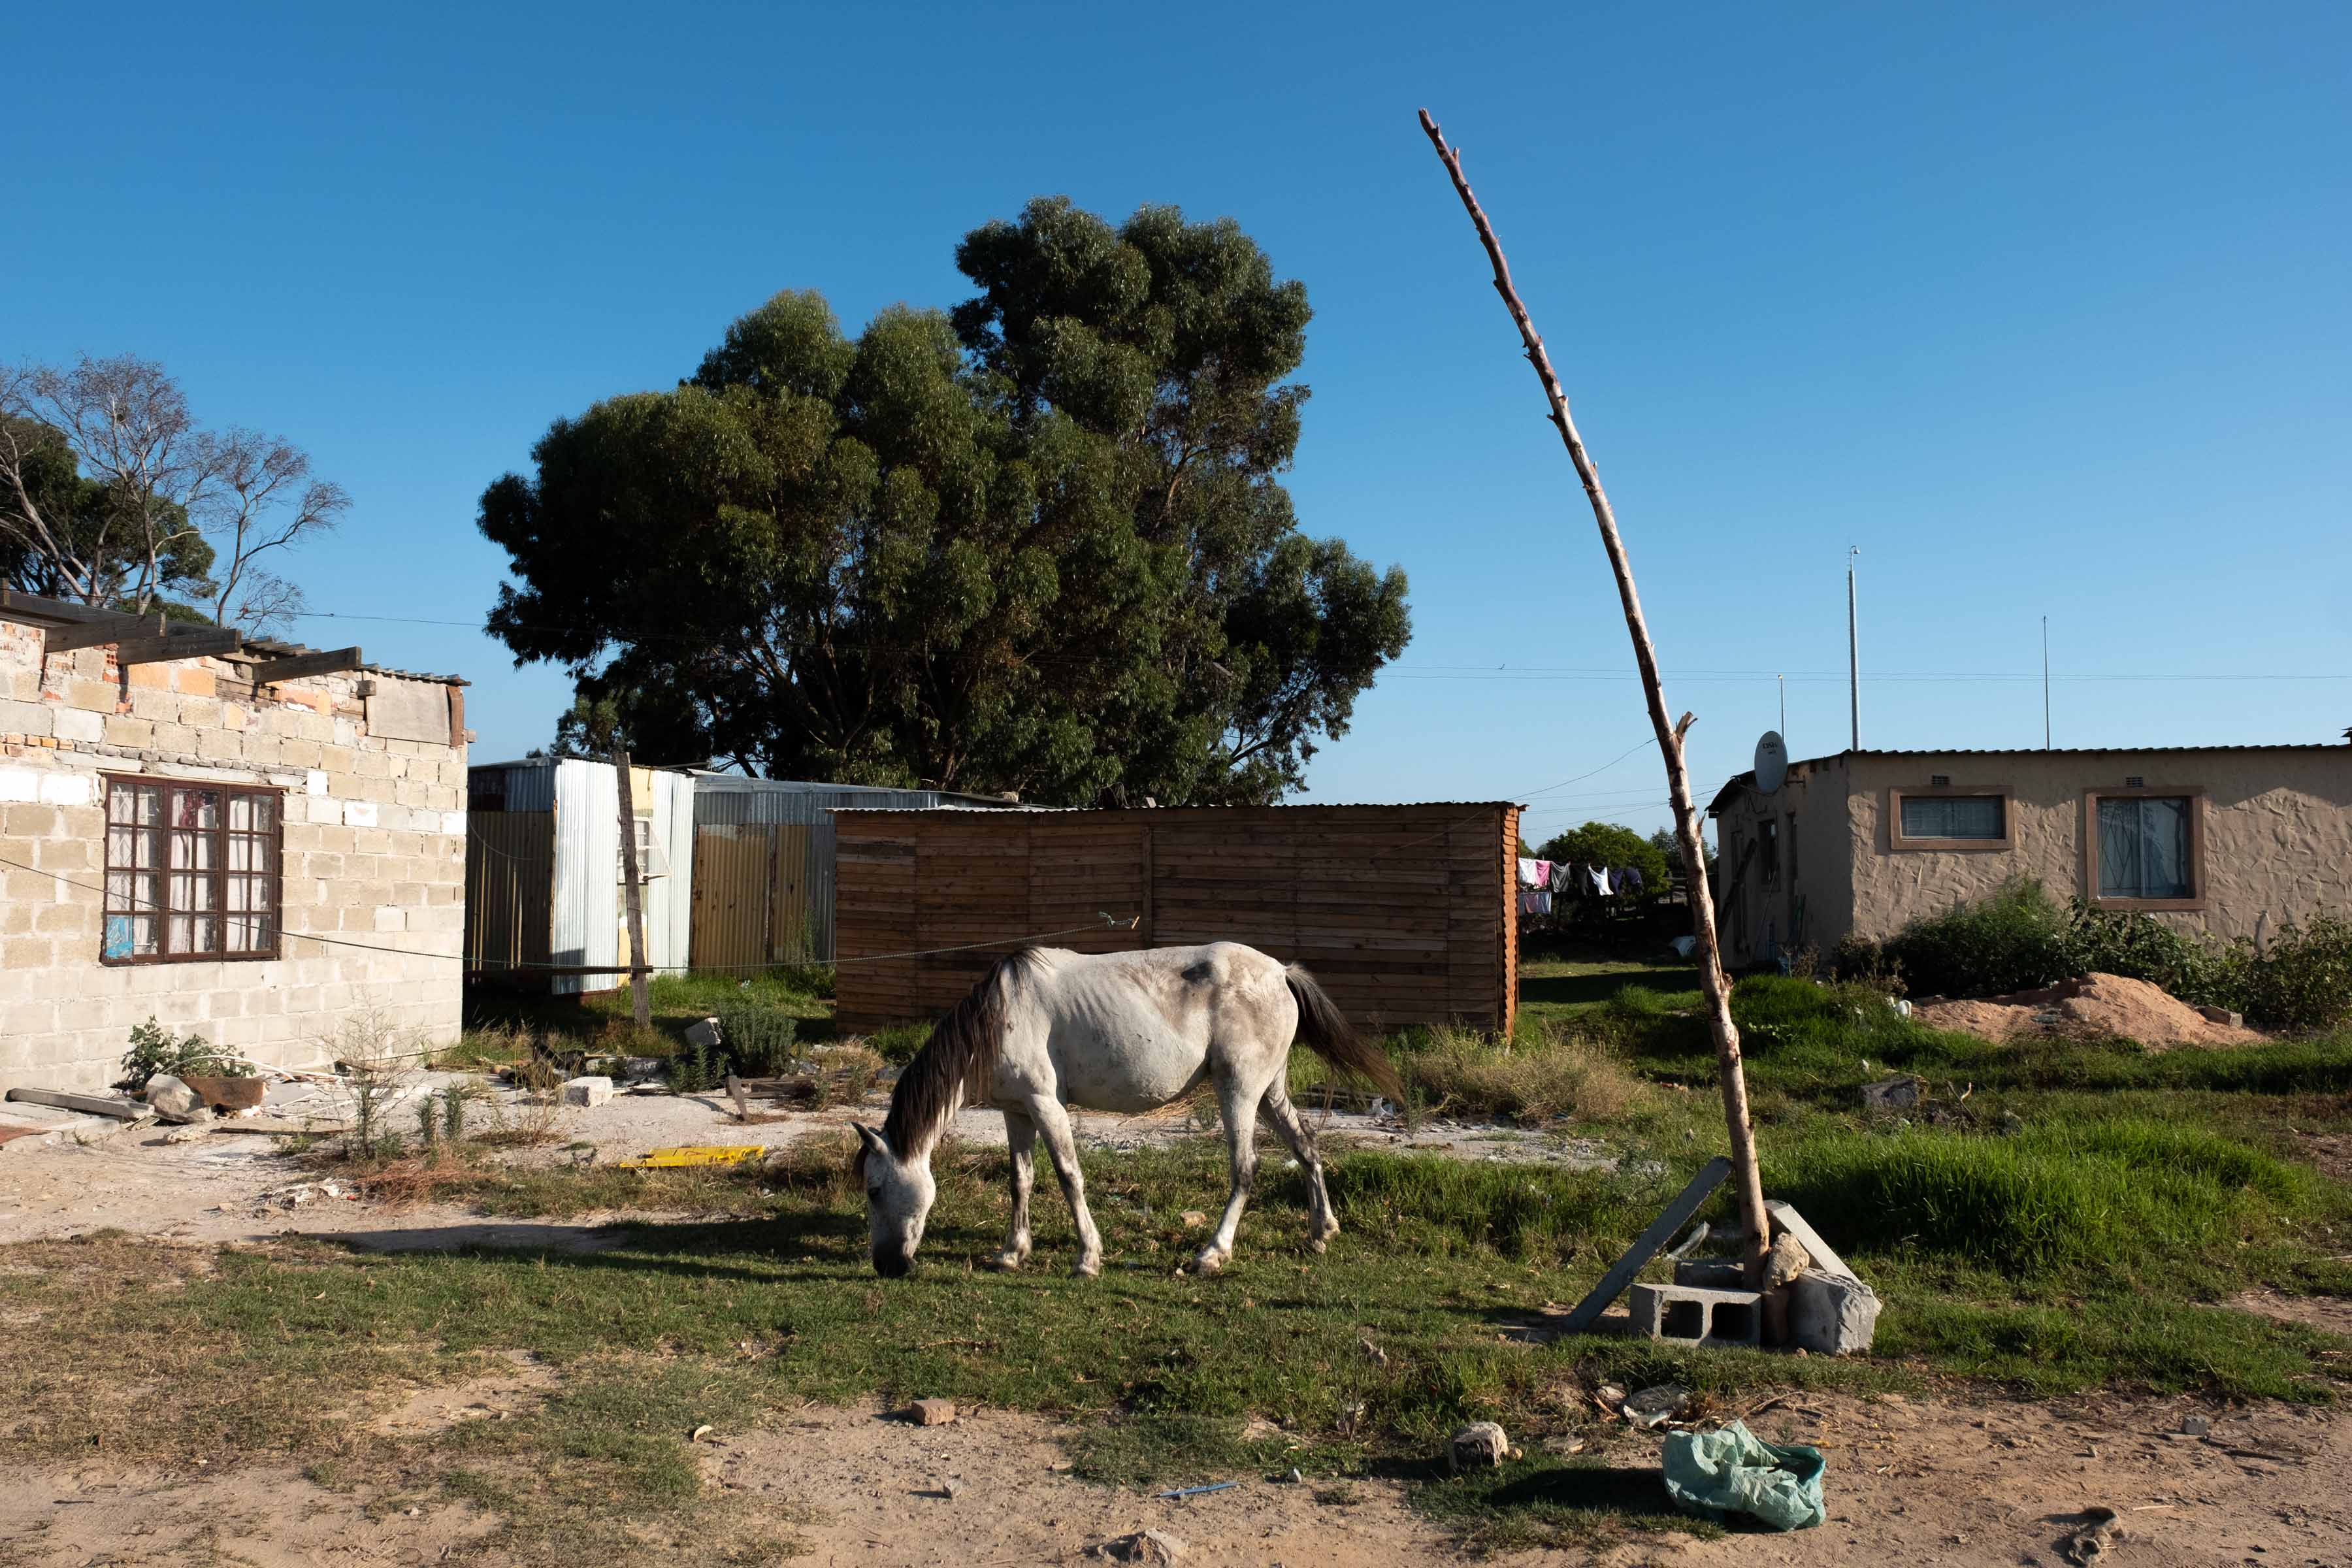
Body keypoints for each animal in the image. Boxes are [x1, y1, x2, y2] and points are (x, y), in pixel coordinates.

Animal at [851, 940, 1392, 1279]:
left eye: (875, 1190)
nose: (886, 1266)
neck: (1000, 1016)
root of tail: (1281, 972)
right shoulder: (1017, 1112)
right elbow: (1020, 1179)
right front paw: (1011, 1253)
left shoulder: (1047, 1105)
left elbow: (1068, 1176)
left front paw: (1087, 1258)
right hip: (1268, 1094)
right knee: (1306, 1148)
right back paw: (1321, 1232)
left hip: (1238, 1091)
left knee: (1246, 1168)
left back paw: (1212, 1254)